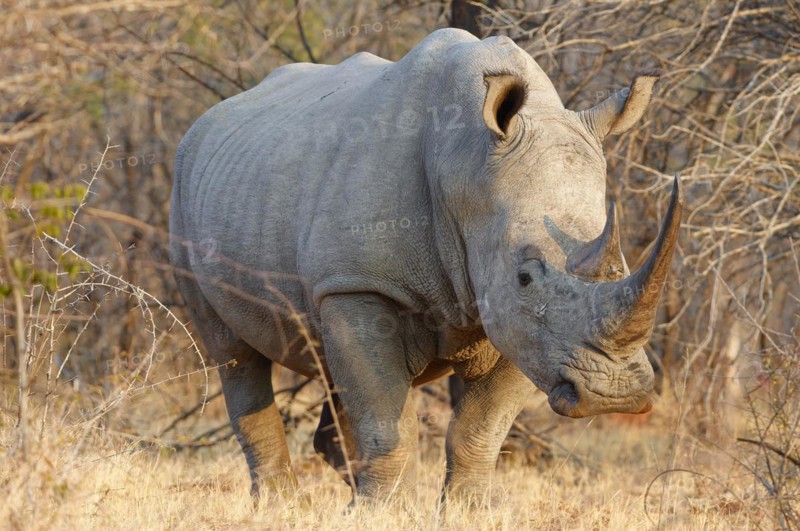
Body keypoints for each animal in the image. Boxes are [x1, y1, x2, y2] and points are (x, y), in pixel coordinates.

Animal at [169, 28, 682, 502]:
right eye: (524, 277)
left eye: (622, 267)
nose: (614, 393)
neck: (467, 164)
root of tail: (204, 121)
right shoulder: (361, 283)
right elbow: (388, 423)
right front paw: (381, 514)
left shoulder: (527, 329)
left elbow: (479, 431)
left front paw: (461, 511)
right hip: (185, 197)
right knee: (235, 355)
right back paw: (280, 502)